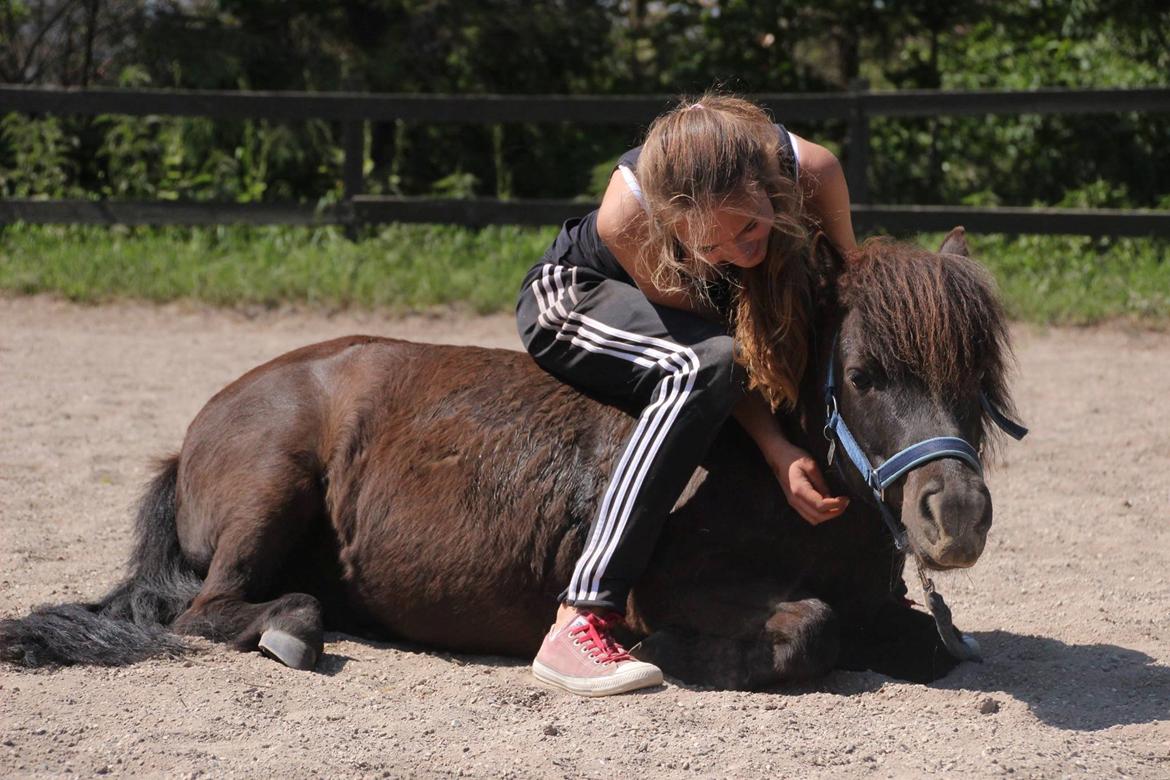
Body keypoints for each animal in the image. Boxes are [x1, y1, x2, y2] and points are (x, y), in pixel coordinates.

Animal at [2, 230, 1015, 687]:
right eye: (864, 374)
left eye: (977, 374)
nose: (956, 517)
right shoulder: (678, 584)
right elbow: (810, 628)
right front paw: (665, 651)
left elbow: (924, 641)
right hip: (272, 484)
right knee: (207, 611)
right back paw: (291, 624)